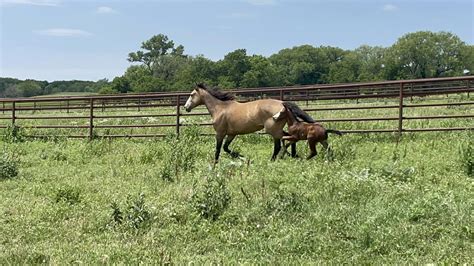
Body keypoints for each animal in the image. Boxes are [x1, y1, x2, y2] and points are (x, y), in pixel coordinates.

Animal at [184, 83, 314, 162]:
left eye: (191, 94)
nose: (186, 107)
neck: (220, 108)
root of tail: (283, 103)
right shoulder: (231, 134)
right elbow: (226, 148)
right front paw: (241, 156)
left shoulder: (220, 133)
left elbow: (218, 149)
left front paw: (215, 164)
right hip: (276, 130)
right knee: (289, 138)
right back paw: (292, 155)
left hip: (273, 130)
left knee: (279, 144)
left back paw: (273, 159)